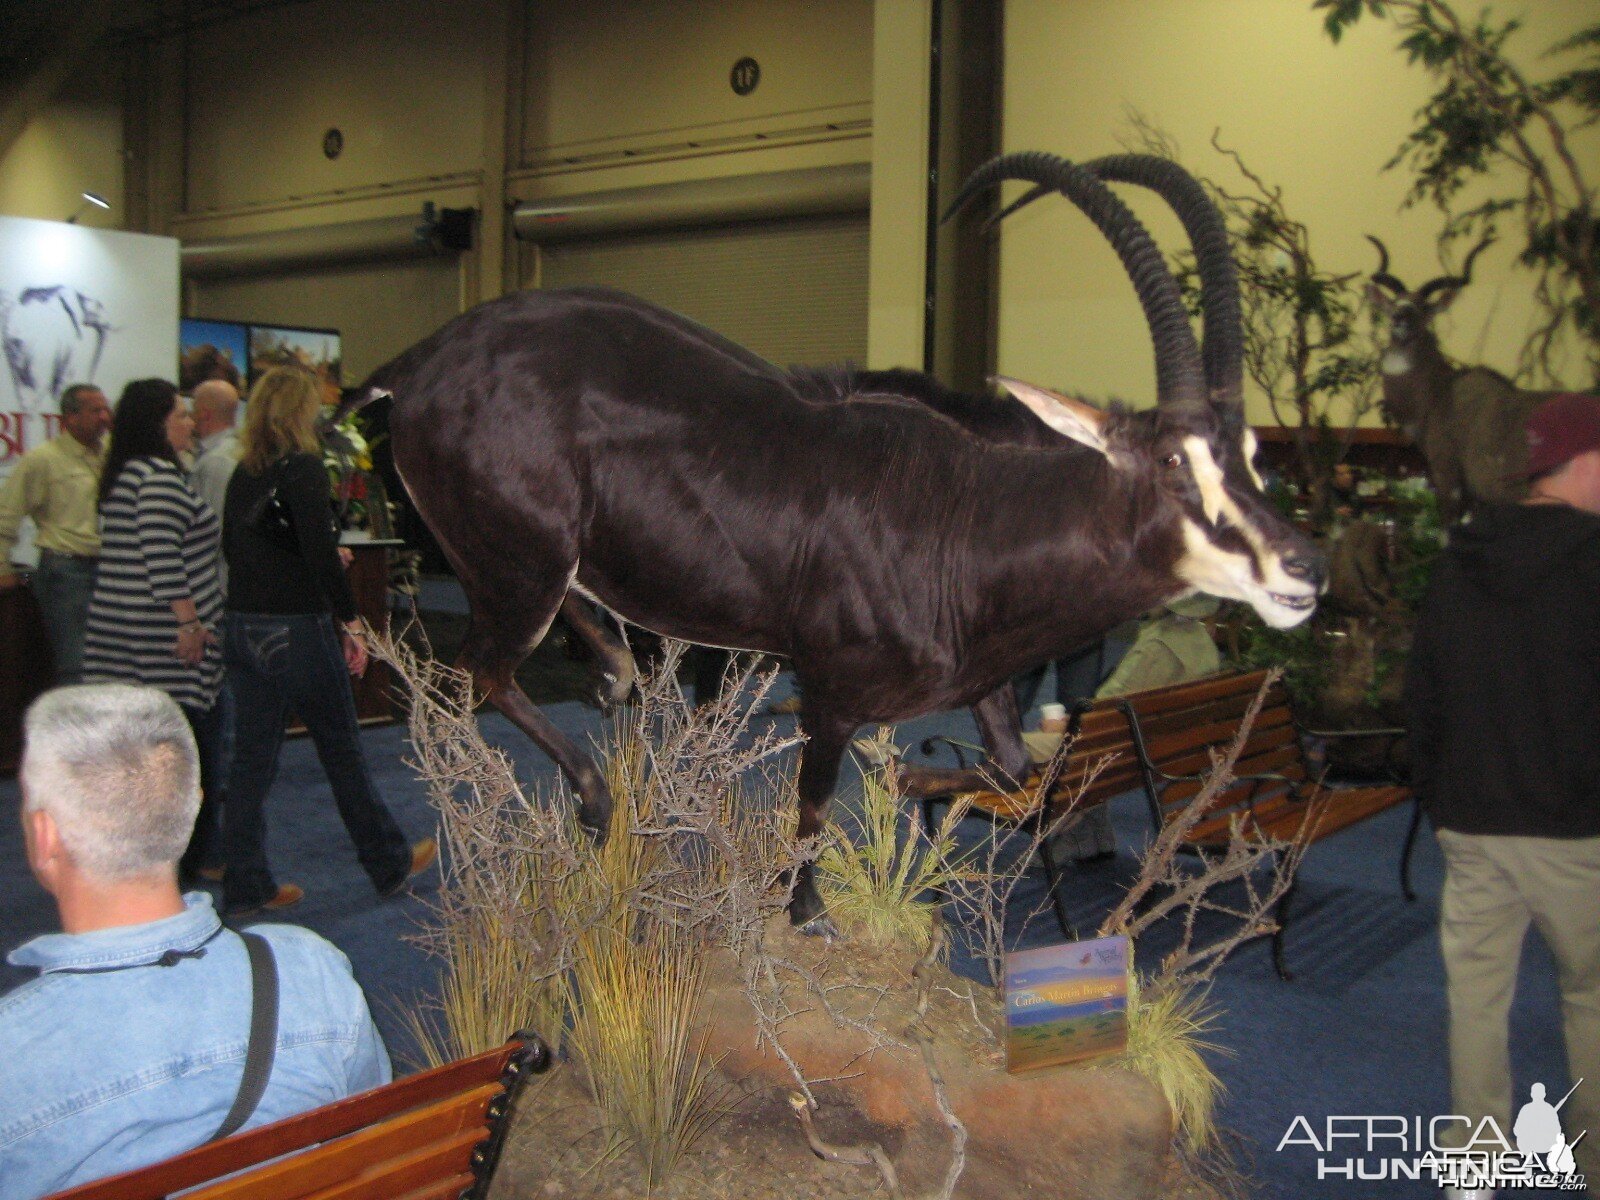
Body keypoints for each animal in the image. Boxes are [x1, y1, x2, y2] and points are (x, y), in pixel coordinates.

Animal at [340, 150, 1324, 934]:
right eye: (1172, 458)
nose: (1303, 570)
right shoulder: (831, 692)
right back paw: (593, 792)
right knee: (481, 669)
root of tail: (417, 365)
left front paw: (906, 784)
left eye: (1253, 454)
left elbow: (1014, 772)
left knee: (560, 637)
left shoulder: (983, 685)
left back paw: (616, 673)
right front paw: (807, 907)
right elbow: (813, 809)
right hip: (521, 563)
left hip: (541, 563)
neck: (967, 518)